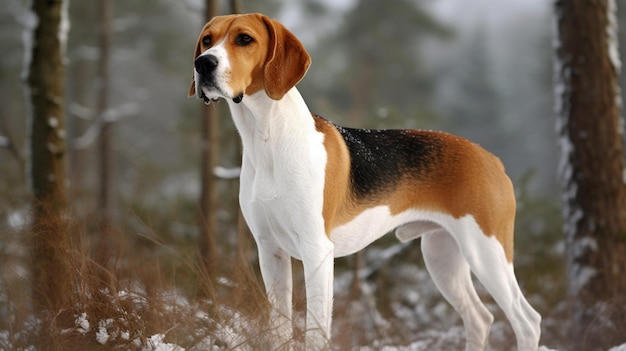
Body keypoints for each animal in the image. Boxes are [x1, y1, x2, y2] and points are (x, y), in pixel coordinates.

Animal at [188, 12, 540, 350]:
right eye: (207, 40)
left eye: (244, 39)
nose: (203, 63)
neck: (267, 139)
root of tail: (490, 158)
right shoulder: (270, 251)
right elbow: (280, 329)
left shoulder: (317, 251)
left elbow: (315, 333)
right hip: (443, 255)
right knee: (480, 318)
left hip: (487, 252)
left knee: (527, 322)